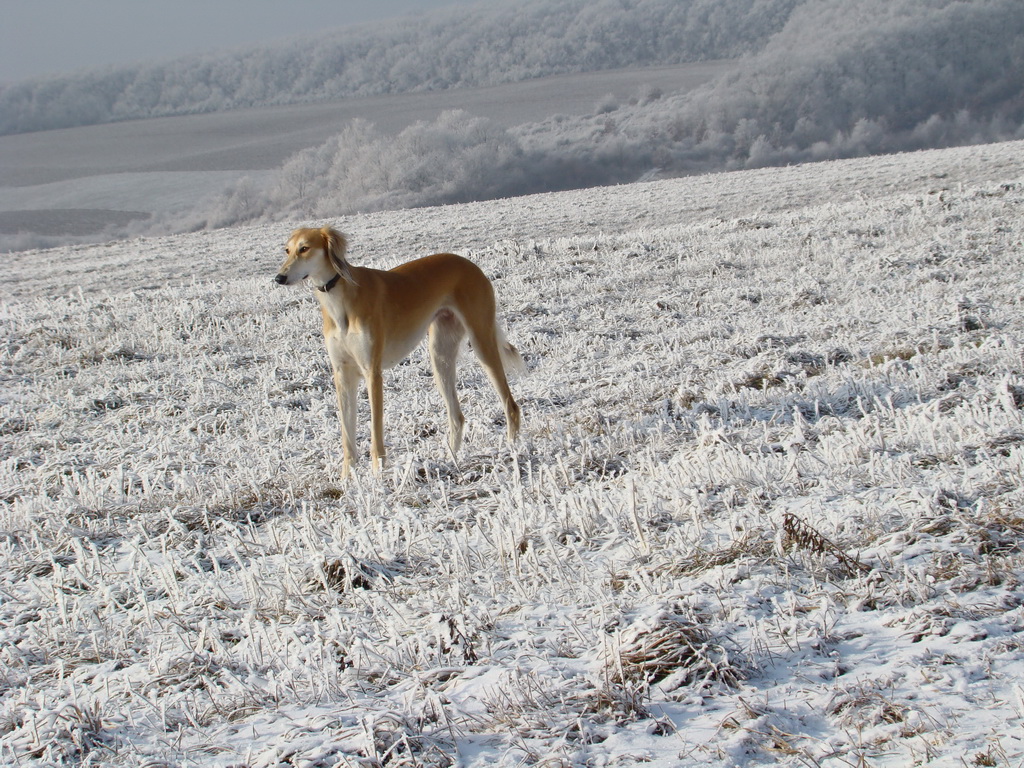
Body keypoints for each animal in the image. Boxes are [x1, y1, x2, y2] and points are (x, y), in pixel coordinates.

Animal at [274, 228, 524, 479]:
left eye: (304, 248)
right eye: (287, 250)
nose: (279, 278)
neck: (340, 299)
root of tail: (470, 264)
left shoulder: (372, 372)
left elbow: (376, 430)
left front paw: (378, 477)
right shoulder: (342, 374)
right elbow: (347, 434)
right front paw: (347, 479)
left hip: (482, 343)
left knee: (510, 405)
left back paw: (512, 450)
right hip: (440, 355)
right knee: (457, 417)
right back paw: (450, 460)